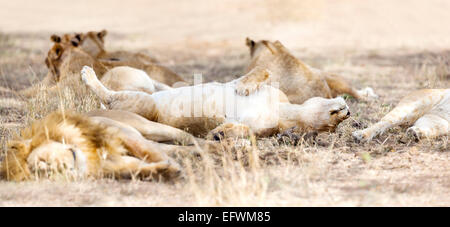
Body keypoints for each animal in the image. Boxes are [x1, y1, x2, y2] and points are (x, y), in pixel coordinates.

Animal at [80, 64, 352, 137]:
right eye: (337, 116)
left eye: (333, 125)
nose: (347, 111)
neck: (283, 111)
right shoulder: (271, 90)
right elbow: (261, 72)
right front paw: (243, 88)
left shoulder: (260, 127)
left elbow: (242, 130)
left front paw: (217, 134)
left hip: (144, 104)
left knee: (109, 97)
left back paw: (88, 74)